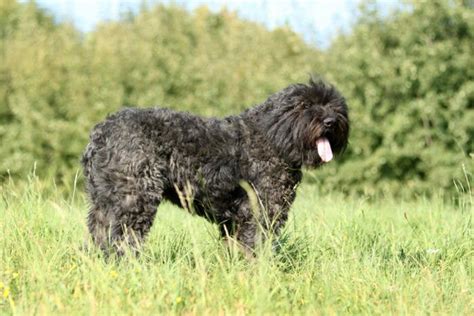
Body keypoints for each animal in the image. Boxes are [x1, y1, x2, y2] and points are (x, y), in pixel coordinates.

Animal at [81, 79, 348, 256]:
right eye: (304, 105)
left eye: (335, 106)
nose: (330, 121)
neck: (272, 136)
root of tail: (100, 134)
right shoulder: (259, 212)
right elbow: (254, 249)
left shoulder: (236, 221)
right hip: (134, 200)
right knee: (121, 239)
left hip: (104, 202)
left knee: (99, 234)